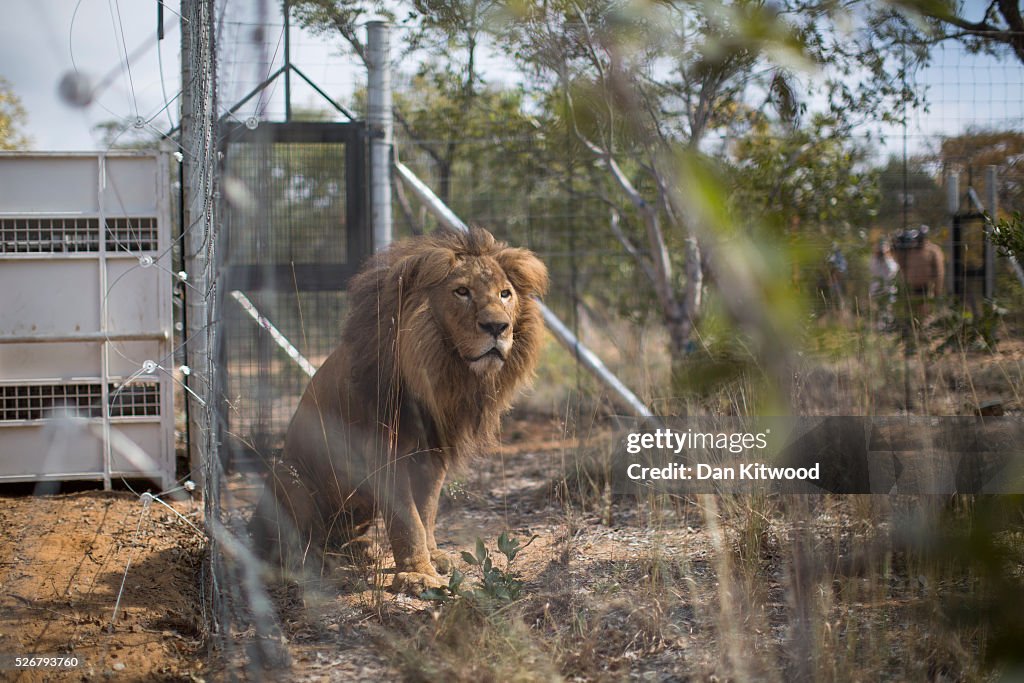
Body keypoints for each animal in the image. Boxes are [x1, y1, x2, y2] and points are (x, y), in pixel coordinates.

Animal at [246, 227, 548, 593]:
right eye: (462, 292)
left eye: (505, 294)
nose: (497, 327)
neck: (440, 371)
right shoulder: (384, 452)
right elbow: (408, 518)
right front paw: (418, 575)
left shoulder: (433, 454)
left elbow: (427, 511)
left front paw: (433, 557)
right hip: (287, 475)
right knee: (291, 547)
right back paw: (317, 564)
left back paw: (359, 550)